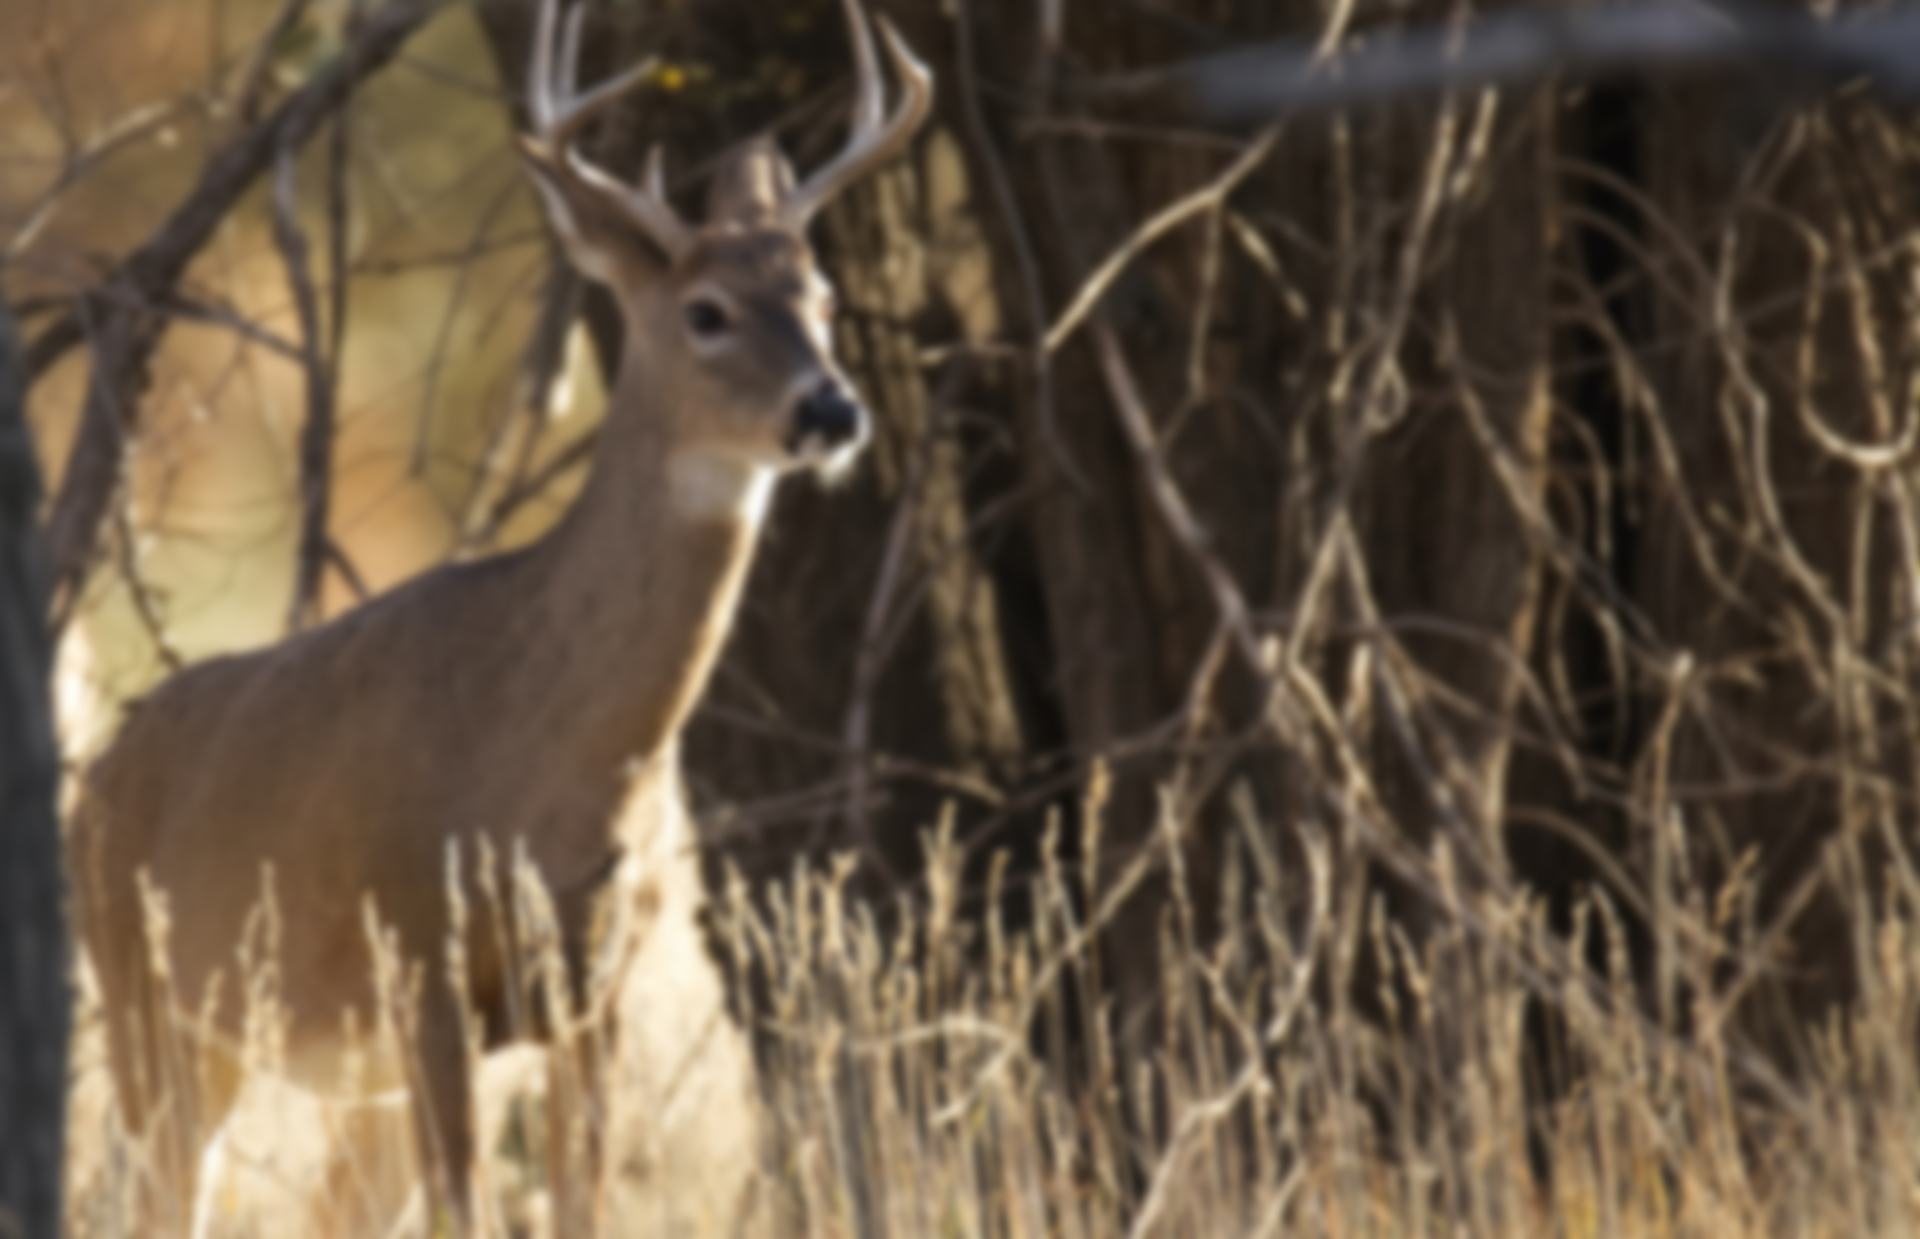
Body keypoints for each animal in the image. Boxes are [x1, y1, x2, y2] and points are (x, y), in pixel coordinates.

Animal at [72, 0, 936, 1229]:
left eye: (823, 301)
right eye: (705, 312)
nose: (835, 409)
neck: (556, 761)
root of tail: (95, 779)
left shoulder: (595, 989)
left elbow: (581, 1203)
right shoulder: (422, 956)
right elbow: (471, 1206)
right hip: (154, 1004)